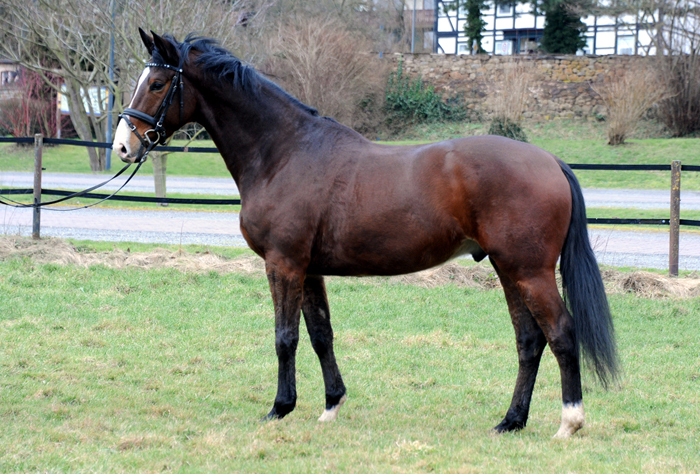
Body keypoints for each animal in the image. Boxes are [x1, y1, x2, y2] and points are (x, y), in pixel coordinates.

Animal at [115, 28, 616, 436]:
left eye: (157, 83)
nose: (123, 145)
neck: (284, 153)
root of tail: (550, 160)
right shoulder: (309, 269)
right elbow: (320, 334)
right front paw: (330, 405)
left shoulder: (284, 264)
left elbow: (285, 337)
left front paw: (280, 408)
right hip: (508, 269)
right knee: (529, 341)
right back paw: (511, 421)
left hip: (529, 271)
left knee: (561, 333)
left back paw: (569, 422)